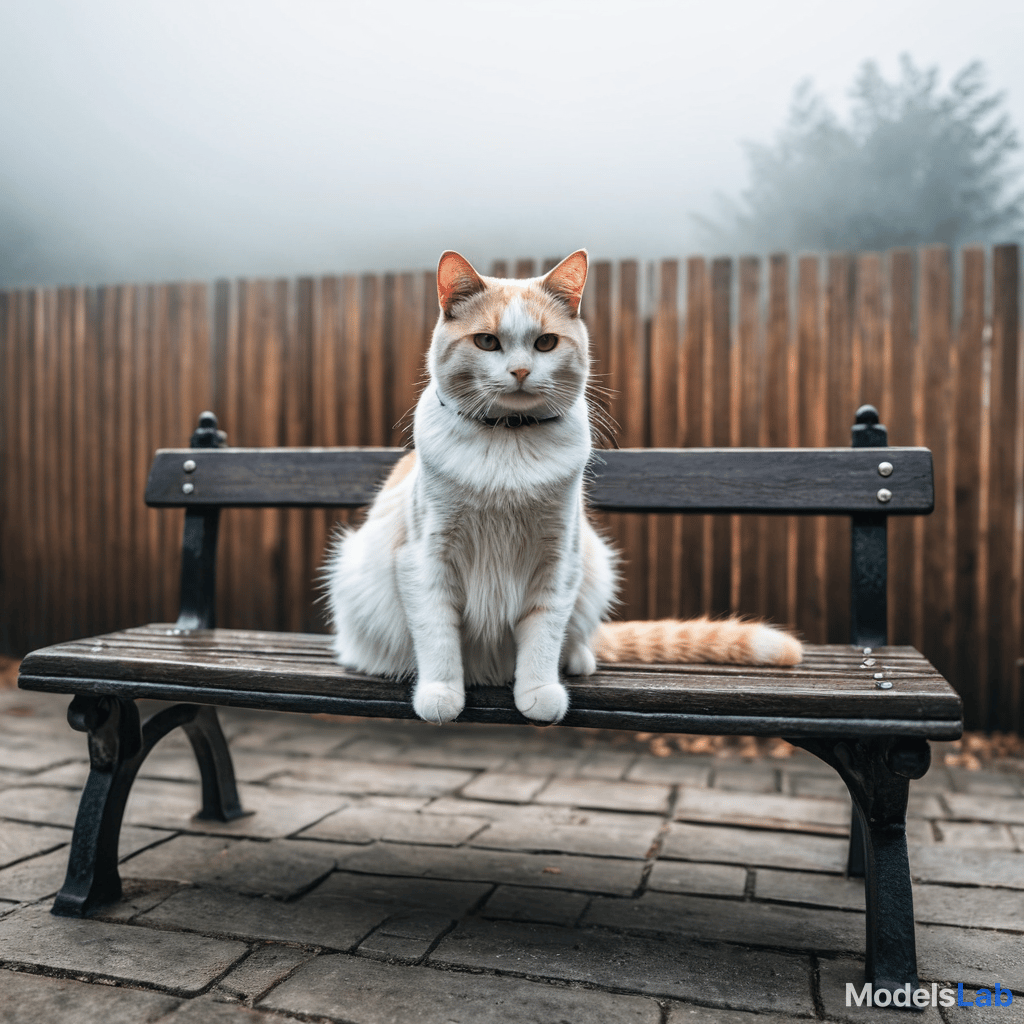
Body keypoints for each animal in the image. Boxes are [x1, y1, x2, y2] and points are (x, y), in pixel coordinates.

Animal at [325, 248, 798, 729]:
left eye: (545, 343)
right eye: (487, 342)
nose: (519, 370)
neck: (509, 441)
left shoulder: (558, 560)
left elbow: (543, 634)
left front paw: (538, 691)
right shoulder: (425, 560)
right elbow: (438, 633)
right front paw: (441, 693)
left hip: (594, 564)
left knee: (572, 637)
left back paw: (576, 659)